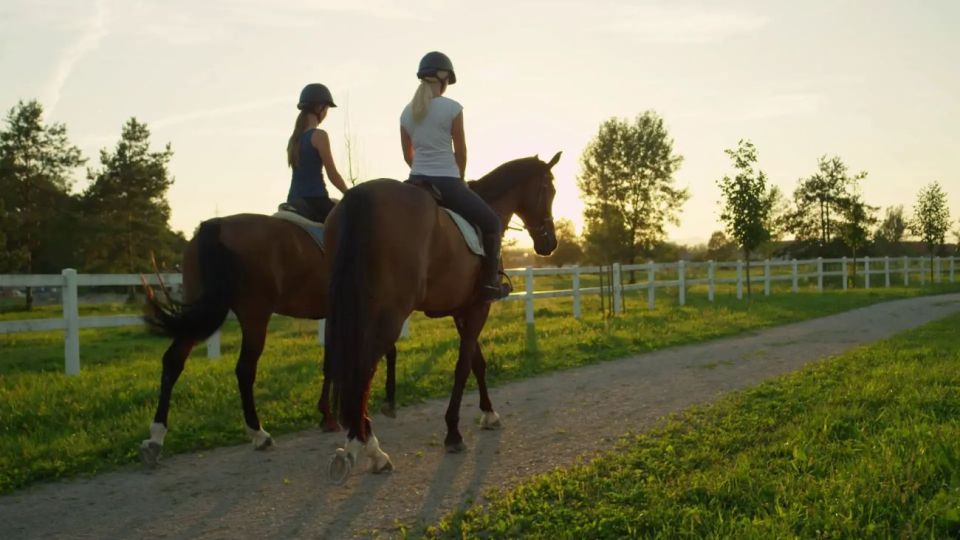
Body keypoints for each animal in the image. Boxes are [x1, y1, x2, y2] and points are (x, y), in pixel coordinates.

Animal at [139, 213, 398, 466]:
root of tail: (216, 224)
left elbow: (333, 363)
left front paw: (328, 416)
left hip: (201, 311)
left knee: (173, 361)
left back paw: (156, 437)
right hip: (254, 314)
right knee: (244, 369)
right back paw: (258, 432)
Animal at [324, 153, 564, 480]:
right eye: (549, 190)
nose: (549, 244)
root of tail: (358, 197)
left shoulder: (462, 310)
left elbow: (477, 363)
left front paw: (489, 413)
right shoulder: (478, 308)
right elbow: (463, 367)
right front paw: (454, 432)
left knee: (354, 369)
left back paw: (363, 442)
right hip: (387, 314)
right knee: (363, 370)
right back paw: (366, 448)